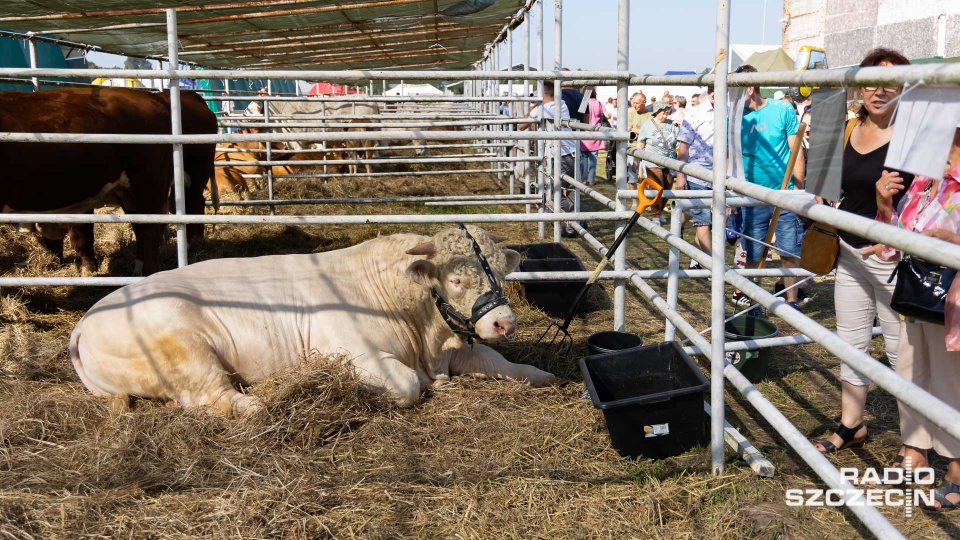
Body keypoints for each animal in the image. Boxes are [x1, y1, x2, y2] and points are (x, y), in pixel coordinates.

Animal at [71, 226, 564, 416]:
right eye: (457, 279)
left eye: (501, 272)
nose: (504, 323)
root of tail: (85, 321)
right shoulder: (351, 351)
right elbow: (407, 385)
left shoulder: (456, 349)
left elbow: (505, 364)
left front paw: (544, 376)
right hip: (187, 350)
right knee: (211, 398)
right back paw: (263, 403)